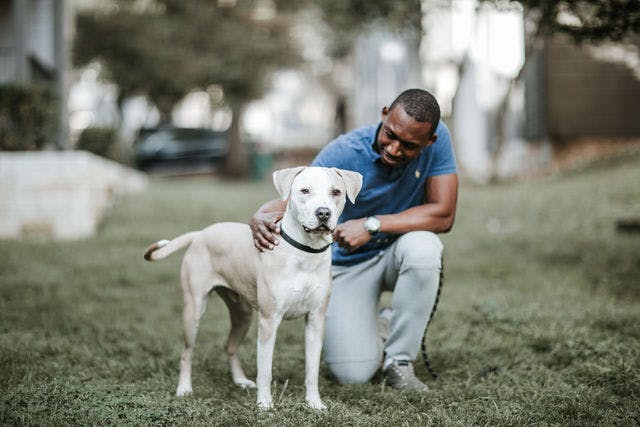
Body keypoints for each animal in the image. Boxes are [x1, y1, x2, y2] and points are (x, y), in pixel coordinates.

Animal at [146, 167, 362, 412]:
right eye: (304, 191)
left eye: (336, 192)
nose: (324, 213)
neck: (306, 252)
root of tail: (200, 234)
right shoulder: (269, 321)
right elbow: (265, 369)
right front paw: (265, 404)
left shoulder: (316, 320)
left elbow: (312, 369)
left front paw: (314, 403)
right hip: (194, 310)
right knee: (187, 352)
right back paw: (184, 388)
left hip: (243, 314)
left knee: (230, 345)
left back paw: (240, 380)